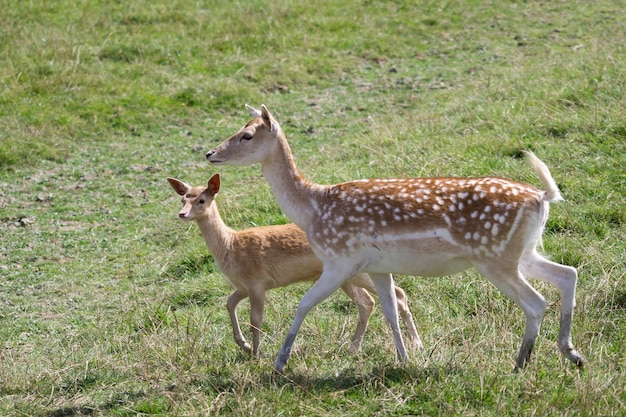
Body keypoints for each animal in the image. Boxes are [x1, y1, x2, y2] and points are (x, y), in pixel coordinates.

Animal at [167, 172, 420, 358]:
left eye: (202, 199)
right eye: (183, 198)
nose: (182, 214)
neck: (231, 247)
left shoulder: (257, 282)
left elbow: (256, 319)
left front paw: (256, 353)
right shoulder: (243, 286)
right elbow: (229, 303)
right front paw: (244, 345)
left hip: (357, 271)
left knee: (390, 294)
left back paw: (410, 343)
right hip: (346, 277)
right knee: (371, 301)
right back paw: (356, 348)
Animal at [206, 104, 584, 370]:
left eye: (247, 135)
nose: (210, 153)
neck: (313, 209)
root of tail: (542, 197)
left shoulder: (340, 259)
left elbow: (304, 304)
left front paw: (279, 362)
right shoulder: (376, 265)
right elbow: (389, 308)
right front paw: (404, 359)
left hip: (494, 257)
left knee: (536, 301)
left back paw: (521, 362)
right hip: (522, 250)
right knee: (567, 274)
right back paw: (572, 353)